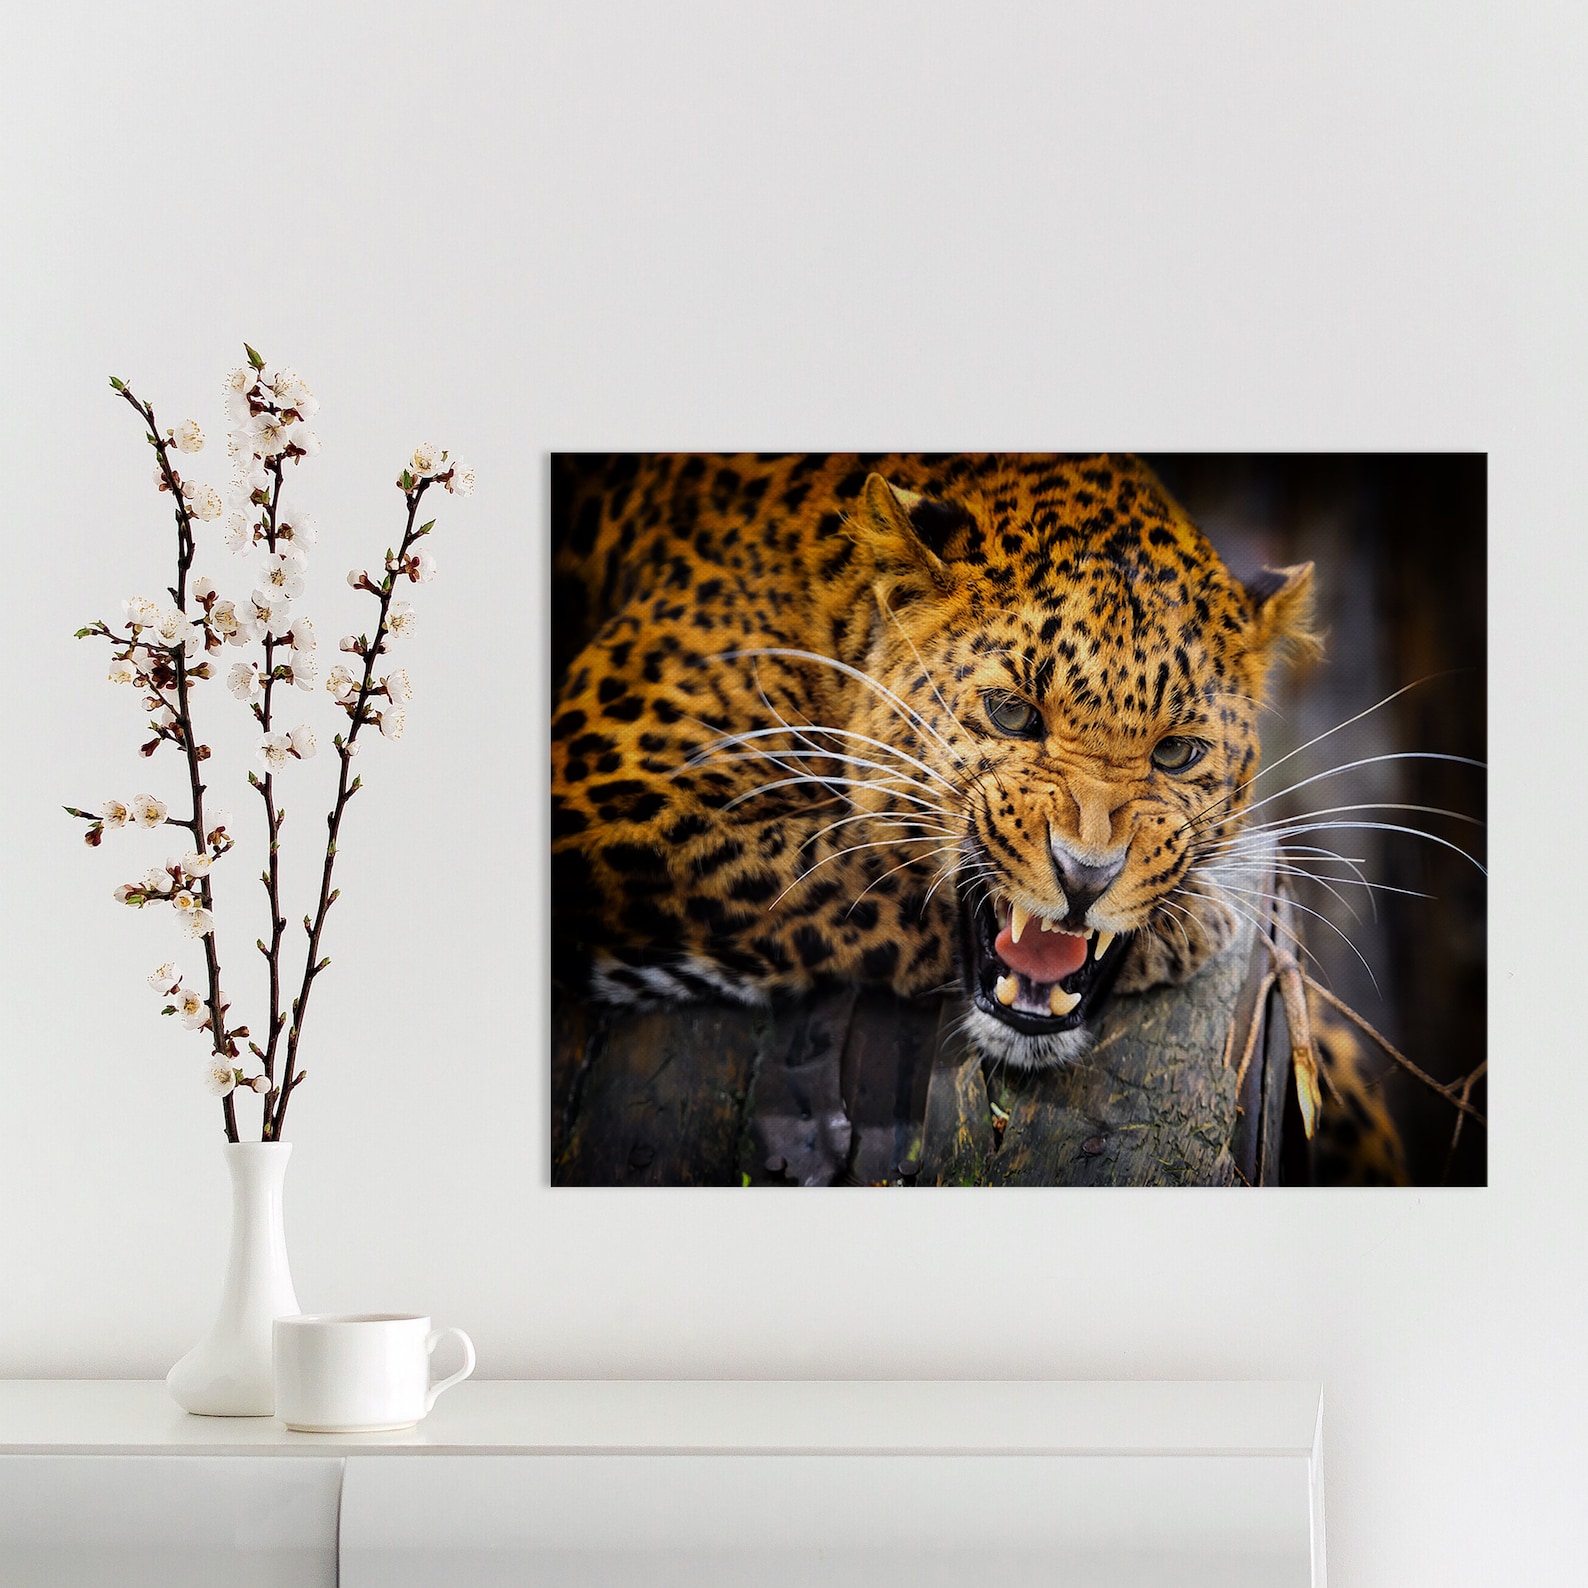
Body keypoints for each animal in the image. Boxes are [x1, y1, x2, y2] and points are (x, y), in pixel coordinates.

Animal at [549, 452, 1345, 1090]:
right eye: (1012, 714)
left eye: (1177, 752)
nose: (1086, 878)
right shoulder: (610, 797)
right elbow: (841, 874)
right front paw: (1192, 928)